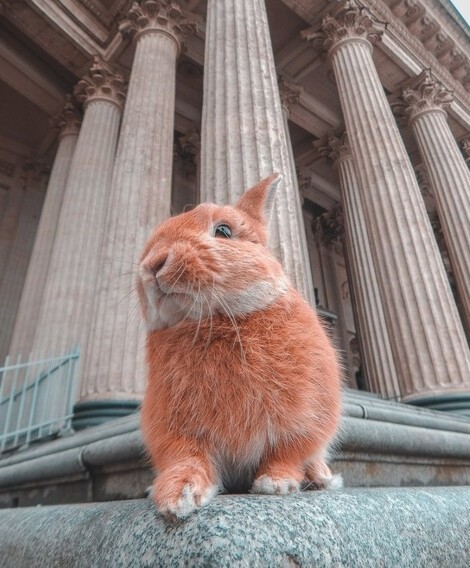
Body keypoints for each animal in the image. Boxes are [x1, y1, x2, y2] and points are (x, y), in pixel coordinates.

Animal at [138, 172, 344, 520]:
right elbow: (186, 458)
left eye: (223, 231)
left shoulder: (306, 415)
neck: (213, 320)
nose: (153, 265)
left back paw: (320, 478)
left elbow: (288, 452)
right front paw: (176, 497)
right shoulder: (175, 428)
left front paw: (276, 484)